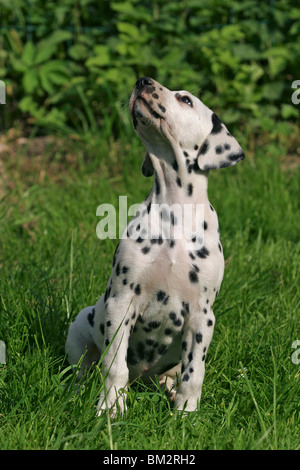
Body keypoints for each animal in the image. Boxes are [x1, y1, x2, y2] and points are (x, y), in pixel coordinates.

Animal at [65, 77, 244, 414]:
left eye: (185, 99)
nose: (142, 81)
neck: (174, 216)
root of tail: (144, 380)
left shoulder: (202, 316)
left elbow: (194, 374)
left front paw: (186, 413)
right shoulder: (121, 302)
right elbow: (114, 365)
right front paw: (111, 407)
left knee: (174, 375)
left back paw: (170, 391)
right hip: (81, 324)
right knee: (83, 368)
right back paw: (78, 391)